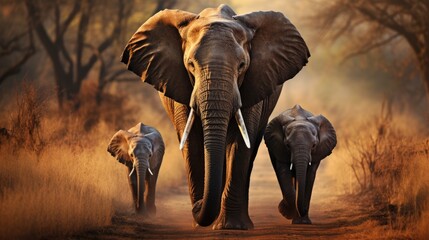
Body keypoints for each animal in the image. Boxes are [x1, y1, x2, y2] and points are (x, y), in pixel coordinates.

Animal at [120, 4, 308, 229]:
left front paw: (231, 227)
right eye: (190, 65)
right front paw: (201, 224)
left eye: (242, 65)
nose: (197, 205)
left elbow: (240, 143)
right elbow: (192, 142)